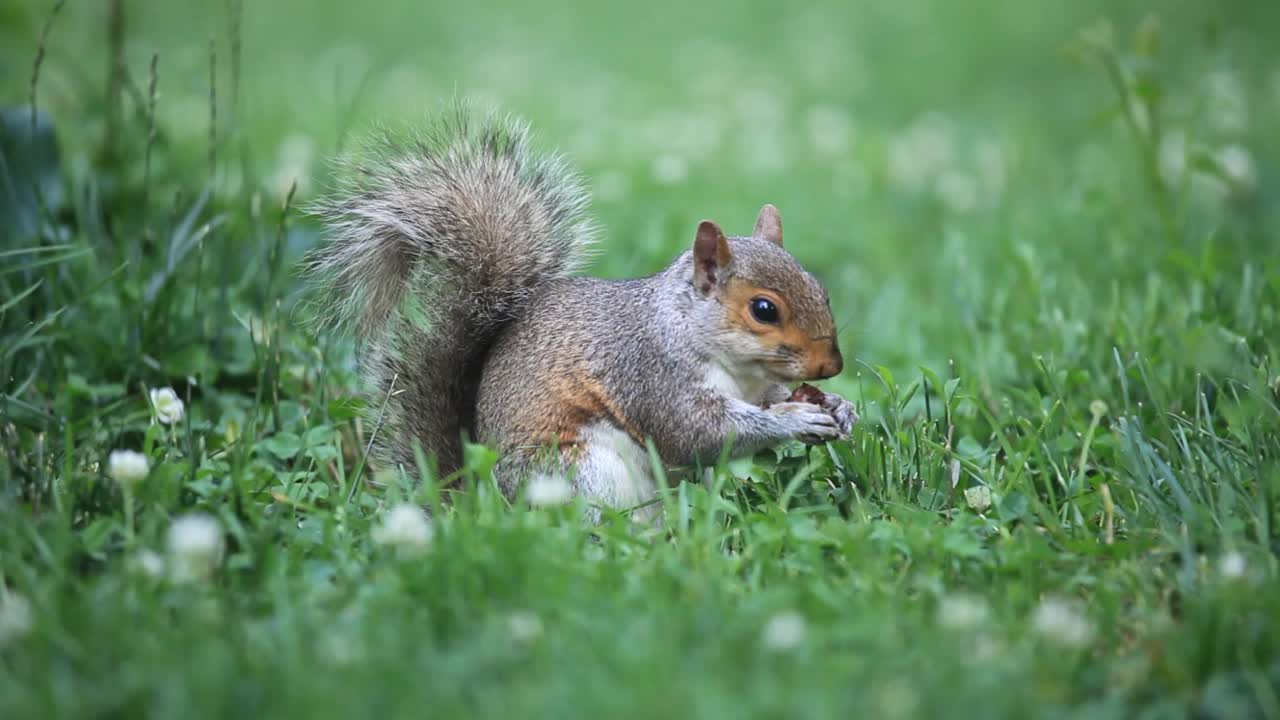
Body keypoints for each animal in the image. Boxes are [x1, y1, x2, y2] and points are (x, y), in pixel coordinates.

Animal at [307, 107, 860, 515]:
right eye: (764, 309)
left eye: (822, 289)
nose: (832, 366)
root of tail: (484, 505)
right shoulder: (649, 374)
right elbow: (698, 433)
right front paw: (796, 419)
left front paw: (838, 406)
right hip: (578, 474)